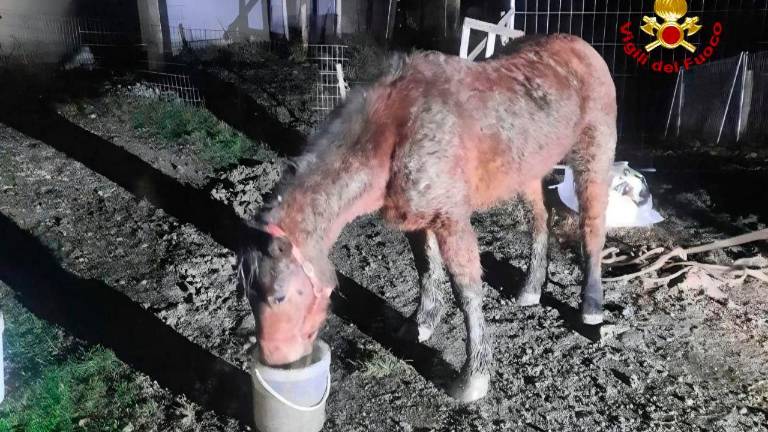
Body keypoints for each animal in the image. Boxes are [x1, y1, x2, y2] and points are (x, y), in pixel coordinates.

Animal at [238, 33, 617, 402]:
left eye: (279, 297)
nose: (280, 364)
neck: (395, 131)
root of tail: (582, 47)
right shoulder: (416, 219)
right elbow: (425, 269)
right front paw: (420, 324)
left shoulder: (452, 221)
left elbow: (467, 293)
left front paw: (473, 379)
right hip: (526, 169)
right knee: (540, 219)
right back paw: (531, 289)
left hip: (593, 156)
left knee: (593, 228)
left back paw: (591, 308)